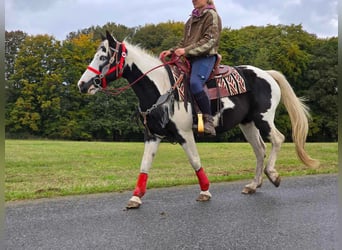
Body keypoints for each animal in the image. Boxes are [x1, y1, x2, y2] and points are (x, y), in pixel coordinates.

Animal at [77, 30, 318, 208]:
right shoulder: (153, 135)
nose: (82, 84)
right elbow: (145, 164)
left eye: (103, 57)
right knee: (259, 149)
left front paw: (205, 191)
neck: (162, 88)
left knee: (277, 139)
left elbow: (195, 160)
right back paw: (253, 184)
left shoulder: (184, 134)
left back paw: (273, 175)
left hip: (263, 118)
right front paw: (135, 197)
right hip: (247, 123)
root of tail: (267, 74)